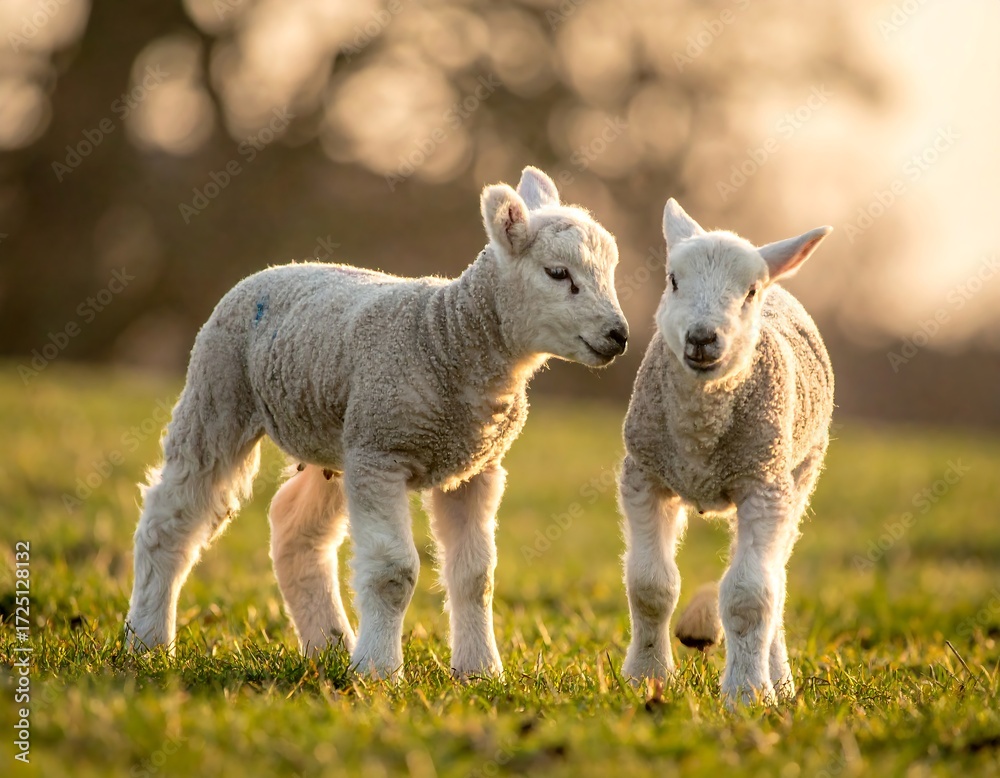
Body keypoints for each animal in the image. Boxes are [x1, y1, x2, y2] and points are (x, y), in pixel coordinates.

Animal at [125, 166, 629, 680]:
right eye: (558, 273)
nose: (619, 335)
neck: (449, 336)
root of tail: (274, 268)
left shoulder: (474, 468)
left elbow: (476, 577)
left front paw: (480, 672)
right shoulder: (383, 452)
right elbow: (393, 573)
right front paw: (379, 672)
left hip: (339, 437)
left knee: (294, 530)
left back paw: (328, 647)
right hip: (220, 392)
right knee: (170, 520)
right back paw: (148, 642)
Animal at [618, 198, 833, 706]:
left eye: (749, 291)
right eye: (673, 280)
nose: (701, 337)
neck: (700, 434)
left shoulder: (763, 484)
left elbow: (750, 596)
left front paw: (749, 693)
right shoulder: (645, 474)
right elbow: (649, 584)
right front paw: (647, 676)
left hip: (798, 474)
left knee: (775, 579)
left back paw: (779, 679)